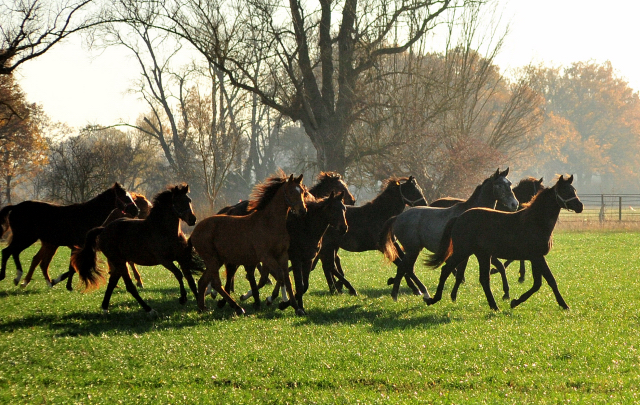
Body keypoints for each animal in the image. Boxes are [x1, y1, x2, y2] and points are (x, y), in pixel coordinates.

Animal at [71, 185, 199, 314]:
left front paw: (200, 304)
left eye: (189, 200)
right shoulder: (164, 260)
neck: (165, 231)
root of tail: (103, 229)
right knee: (129, 286)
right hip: (119, 262)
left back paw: (105, 308)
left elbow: (191, 280)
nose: (192, 219)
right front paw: (183, 298)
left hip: (120, 263)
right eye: (177, 202)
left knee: (112, 283)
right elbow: (179, 274)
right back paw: (149, 309)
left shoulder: (182, 258)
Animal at [190, 172, 308, 314]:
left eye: (302, 191)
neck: (270, 223)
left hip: (218, 260)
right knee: (215, 283)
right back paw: (237, 307)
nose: (303, 211)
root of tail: (195, 230)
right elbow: (280, 276)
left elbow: (287, 279)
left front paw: (297, 308)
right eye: (291, 192)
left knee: (203, 281)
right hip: (212, 259)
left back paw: (202, 308)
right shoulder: (266, 256)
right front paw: (273, 300)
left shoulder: (282, 255)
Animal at [380, 167, 520, 300]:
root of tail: (397, 218)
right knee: (404, 268)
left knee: (405, 268)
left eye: (510, 183)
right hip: (413, 249)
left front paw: (506, 293)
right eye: (499, 185)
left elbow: (500, 266)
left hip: (414, 249)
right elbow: (462, 273)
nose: (515, 204)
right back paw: (407, 294)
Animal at [424, 174, 584, 310]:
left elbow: (539, 283)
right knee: (446, 269)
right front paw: (564, 305)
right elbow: (548, 281)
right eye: (565, 190)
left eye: (574, 190)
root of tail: (459, 217)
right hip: (462, 251)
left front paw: (515, 301)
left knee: (483, 279)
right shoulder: (537, 257)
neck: (535, 221)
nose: (580, 206)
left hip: (482, 255)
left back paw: (494, 306)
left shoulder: (535, 258)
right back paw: (434, 299)